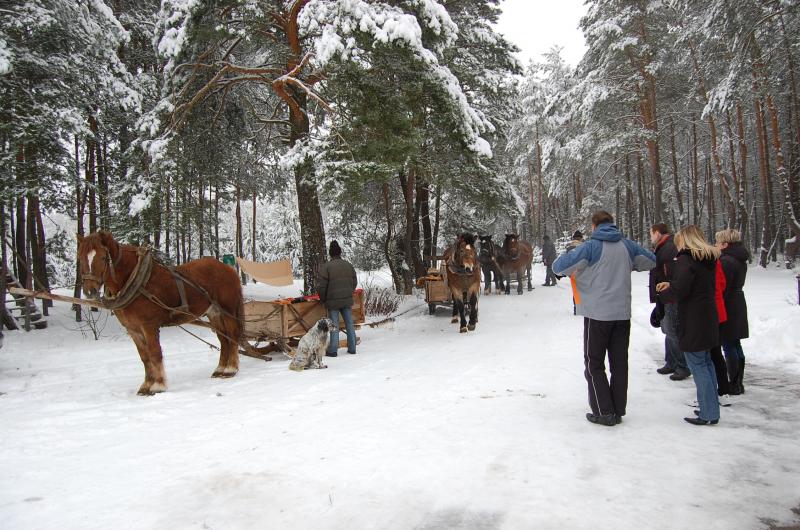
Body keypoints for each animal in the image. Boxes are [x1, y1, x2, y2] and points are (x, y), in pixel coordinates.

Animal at [77, 229, 244, 394]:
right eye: (80, 257)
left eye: (103, 257)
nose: (89, 291)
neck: (135, 281)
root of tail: (228, 268)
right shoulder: (133, 329)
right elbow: (144, 356)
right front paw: (146, 385)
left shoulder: (149, 325)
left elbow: (154, 352)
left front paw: (158, 385)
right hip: (214, 312)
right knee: (223, 339)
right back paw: (220, 369)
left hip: (227, 309)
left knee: (232, 335)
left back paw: (230, 369)